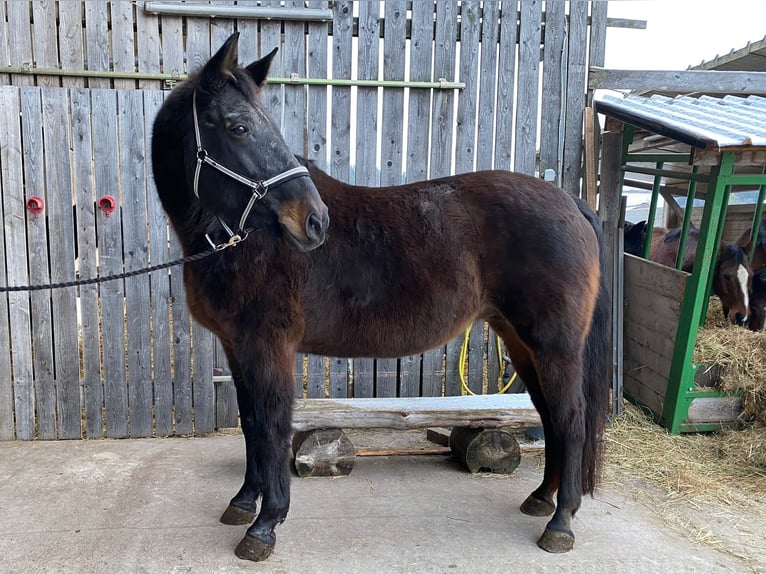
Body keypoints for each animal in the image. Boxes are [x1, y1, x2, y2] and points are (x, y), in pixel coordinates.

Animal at [153, 32, 616, 564]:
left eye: (253, 125)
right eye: (239, 126)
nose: (314, 221)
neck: (242, 237)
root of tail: (572, 203)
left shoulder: (267, 348)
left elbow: (270, 427)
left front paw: (265, 525)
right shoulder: (238, 348)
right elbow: (250, 422)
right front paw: (243, 502)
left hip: (555, 345)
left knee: (572, 418)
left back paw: (561, 522)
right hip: (522, 343)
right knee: (551, 416)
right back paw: (542, 499)